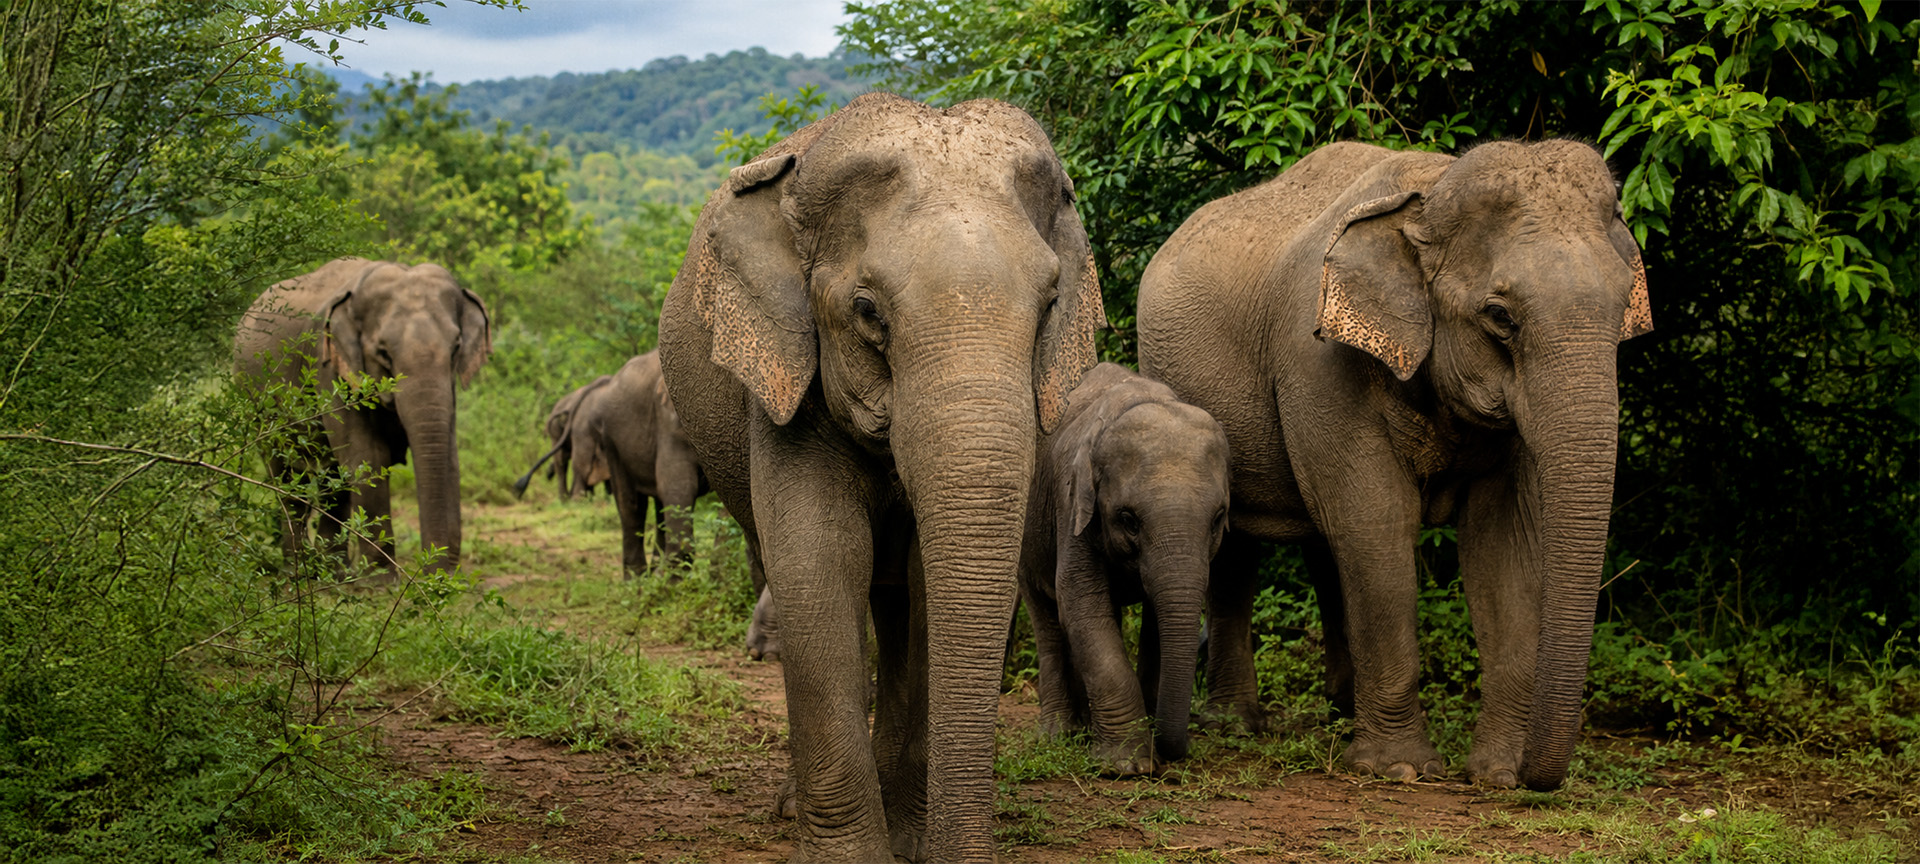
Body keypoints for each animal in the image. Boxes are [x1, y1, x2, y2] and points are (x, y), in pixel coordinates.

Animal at [235, 257, 492, 573]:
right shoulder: (329, 367)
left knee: (333, 478)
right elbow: (368, 455)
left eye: (456, 348)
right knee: (286, 474)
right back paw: (299, 571)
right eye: (383, 352)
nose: (439, 572)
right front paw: (379, 581)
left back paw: (331, 572)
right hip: (256, 400)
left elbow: (449, 458)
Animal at [658, 92, 1104, 861]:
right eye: (867, 311)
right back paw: (791, 806)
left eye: (1051, 304)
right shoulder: (788, 387)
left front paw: (908, 840)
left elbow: (929, 585)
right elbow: (820, 560)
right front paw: (854, 854)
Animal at [1018, 362, 1230, 777]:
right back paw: (1061, 735)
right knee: (1046, 617)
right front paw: (1127, 766)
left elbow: (1155, 623)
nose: (1172, 753)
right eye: (1128, 519)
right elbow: (1081, 605)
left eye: (1218, 519)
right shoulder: (1071, 504)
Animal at [1136, 140, 1652, 792]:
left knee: (1314, 547)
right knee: (1241, 545)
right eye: (1500, 317)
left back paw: (1338, 709)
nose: (1538, 775)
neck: (1429, 193)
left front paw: (1495, 774)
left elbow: (1502, 541)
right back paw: (1239, 726)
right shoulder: (1318, 361)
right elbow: (1376, 525)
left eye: (1622, 307)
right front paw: (1401, 769)